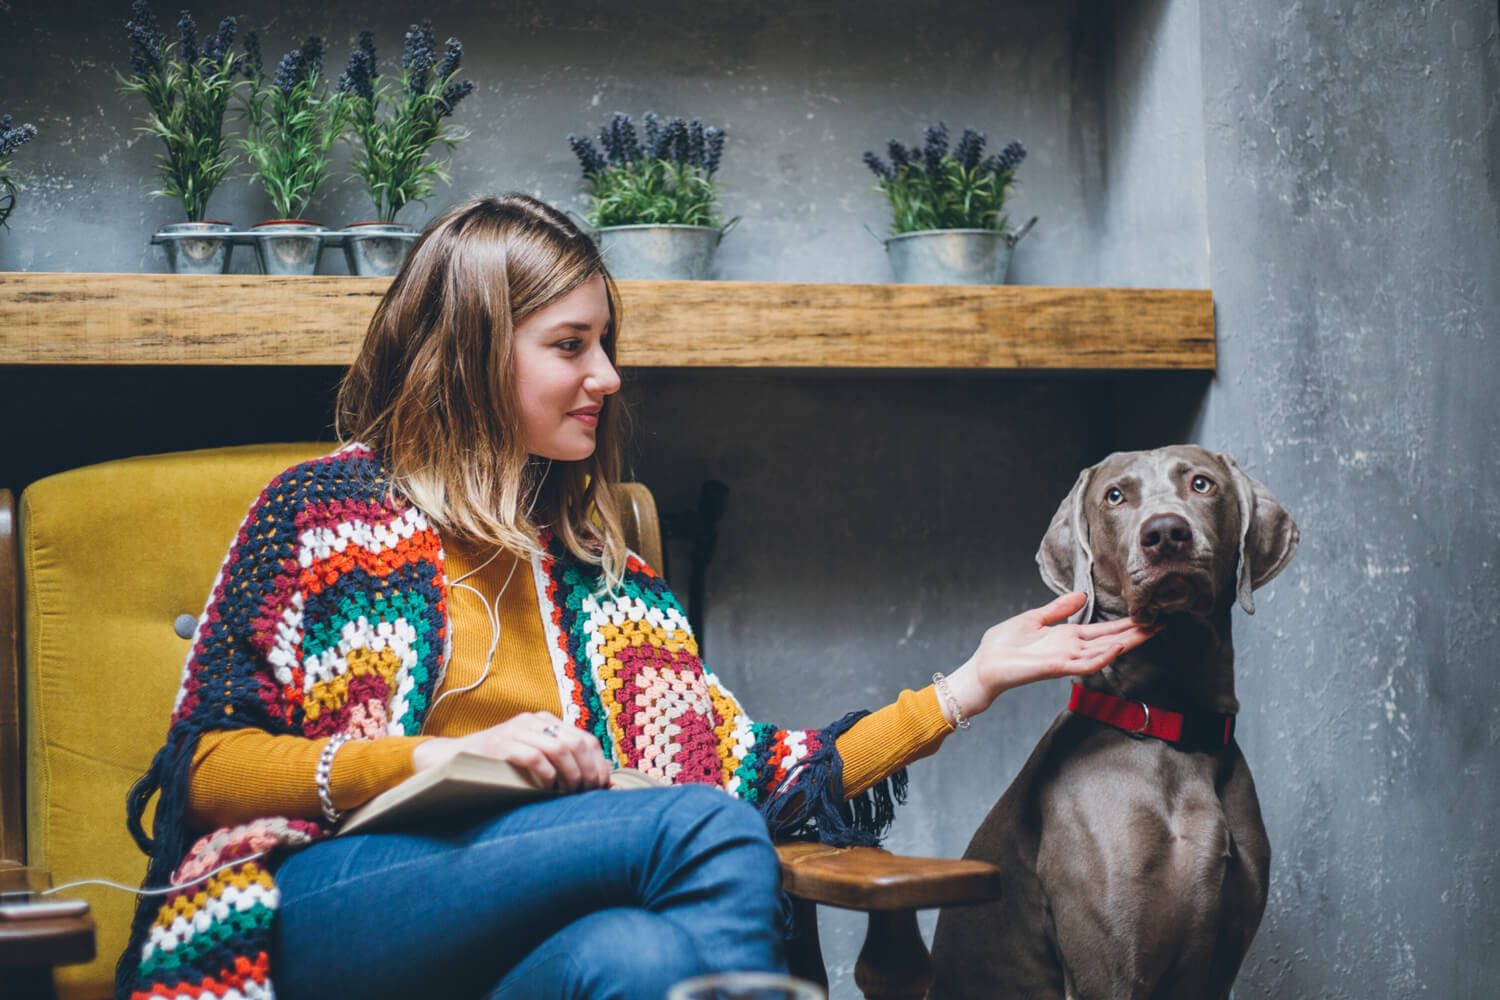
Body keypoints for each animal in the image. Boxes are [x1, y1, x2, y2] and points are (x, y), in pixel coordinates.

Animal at [930, 446, 1296, 1000]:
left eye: (1202, 484)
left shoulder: (1220, 968)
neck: (1171, 726)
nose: (1165, 533)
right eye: (1115, 496)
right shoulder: (1111, 967)